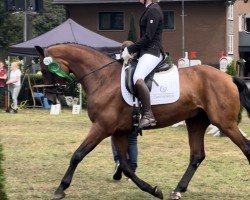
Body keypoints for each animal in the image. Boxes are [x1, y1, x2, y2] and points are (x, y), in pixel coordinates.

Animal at [34, 44, 250, 200]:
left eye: (45, 69)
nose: (50, 98)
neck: (103, 78)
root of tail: (229, 77)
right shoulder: (119, 131)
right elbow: (126, 166)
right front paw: (153, 190)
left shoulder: (102, 127)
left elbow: (77, 155)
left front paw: (61, 188)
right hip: (196, 122)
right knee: (197, 155)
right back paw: (177, 190)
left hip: (224, 123)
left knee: (246, 147)